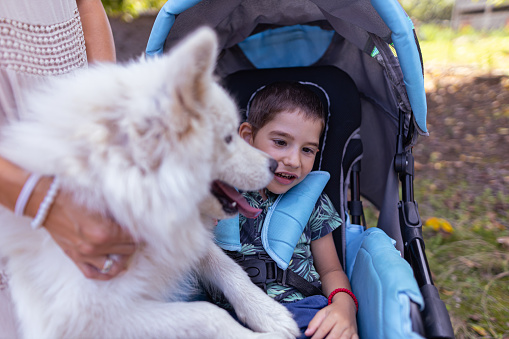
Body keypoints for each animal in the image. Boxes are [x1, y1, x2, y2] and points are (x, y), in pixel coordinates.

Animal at [0, 27, 300, 338]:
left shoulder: (175, 235)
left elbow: (226, 265)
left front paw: (268, 312)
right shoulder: (84, 316)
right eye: (229, 138)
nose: (273, 165)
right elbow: (207, 314)